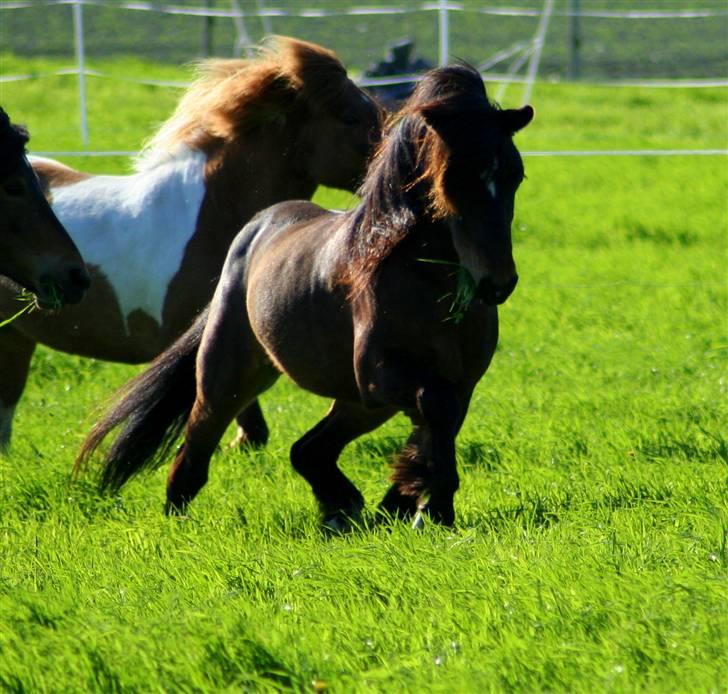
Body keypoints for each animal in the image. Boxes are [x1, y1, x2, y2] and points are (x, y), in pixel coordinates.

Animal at [78, 65, 536, 532]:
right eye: (455, 177)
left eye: (514, 175)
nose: (498, 282)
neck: (427, 279)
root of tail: (254, 230)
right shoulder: (381, 375)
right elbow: (435, 411)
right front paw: (432, 505)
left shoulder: (458, 381)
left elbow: (436, 423)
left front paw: (415, 502)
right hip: (230, 378)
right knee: (195, 453)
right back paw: (182, 519)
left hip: (352, 402)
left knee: (309, 449)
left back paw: (343, 507)